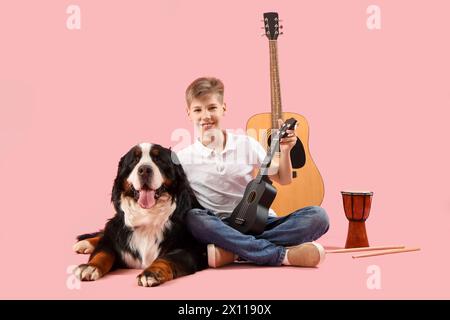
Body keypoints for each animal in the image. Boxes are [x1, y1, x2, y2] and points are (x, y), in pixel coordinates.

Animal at [73, 143, 208, 288]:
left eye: (158, 160)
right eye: (134, 160)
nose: (144, 170)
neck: (147, 217)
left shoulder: (193, 249)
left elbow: (166, 258)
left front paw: (151, 272)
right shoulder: (116, 236)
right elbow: (103, 252)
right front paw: (91, 266)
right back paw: (85, 243)